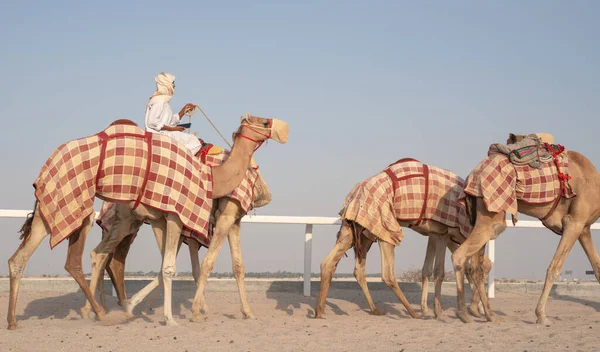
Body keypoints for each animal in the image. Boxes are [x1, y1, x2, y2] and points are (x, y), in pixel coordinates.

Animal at [8, 113, 290, 330]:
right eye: (264, 122)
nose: (284, 130)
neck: (213, 177)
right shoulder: (197, 216)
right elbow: (193, 266)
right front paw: (184, 315)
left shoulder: (180, 220)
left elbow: (232, 266)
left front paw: (245, 312)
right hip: (82, 204)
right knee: (90, 256)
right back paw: (98, 311)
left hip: (88, 214)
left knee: (91, 256)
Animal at [312, 158, 490, 320]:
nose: (479, 309)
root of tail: (353, 194)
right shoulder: (444, 231)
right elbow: (444, 270)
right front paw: (439, 313)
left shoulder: (435, 233)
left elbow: (428, 269)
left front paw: (429, 309)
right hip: (385, 225)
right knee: (387, 274)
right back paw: (412, 313)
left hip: (355, 228)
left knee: (334, 264)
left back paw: (325, 311)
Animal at [450, 133, 600, 324]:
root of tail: (472, 174)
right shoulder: (574, 222)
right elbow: (554, 268)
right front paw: (541, 315)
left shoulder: (584, 228)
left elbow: (597, 268)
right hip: (490, 213)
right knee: (460, 256)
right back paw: (463, 313)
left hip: (479, 216)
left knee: (476, 267)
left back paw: (488, 314)